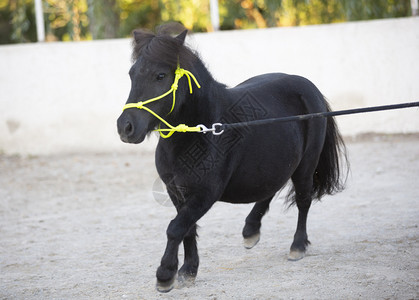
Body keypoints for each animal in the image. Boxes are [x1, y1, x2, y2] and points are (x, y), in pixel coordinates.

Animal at [116, 25, 346, 292]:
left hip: (306, 166)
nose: (126, 127)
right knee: (270, 188)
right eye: (132, 74)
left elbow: (176, 228)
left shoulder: (206, 193)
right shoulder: (177, 191)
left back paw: (297, 246)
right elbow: (187, 229)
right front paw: (188, 270)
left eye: (160, 75)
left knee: (303, 200)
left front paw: (165, 275)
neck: (201, 131)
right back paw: (251, 230)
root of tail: (309, 87)